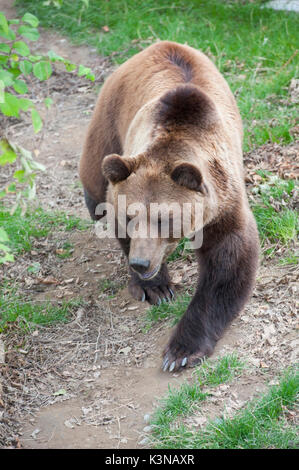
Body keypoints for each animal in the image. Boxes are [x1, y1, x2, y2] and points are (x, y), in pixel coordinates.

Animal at [79, 41, 260, 370]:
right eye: (130, 217)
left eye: (164, 219)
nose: (140, 263)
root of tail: (159, 44)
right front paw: (157, 288)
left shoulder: (222, 201)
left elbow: (228, 260)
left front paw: (181, 350)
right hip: (111, 114)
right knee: (98, 174)